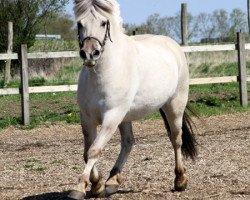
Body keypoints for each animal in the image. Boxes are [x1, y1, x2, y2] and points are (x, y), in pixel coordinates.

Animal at [68, 0, 197, 199]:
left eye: (103, 23)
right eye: (80, 23)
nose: (89, 54)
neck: (103, 72)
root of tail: (173, 45)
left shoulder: (111, 117)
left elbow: (94, 150)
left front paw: (80, 188)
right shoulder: (87, 118)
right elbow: (86, 152)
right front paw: (97, 184)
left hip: (174, 106)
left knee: (176, 139)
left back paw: (180, 180)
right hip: (126, 117)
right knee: (128, 143)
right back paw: (112, 181)